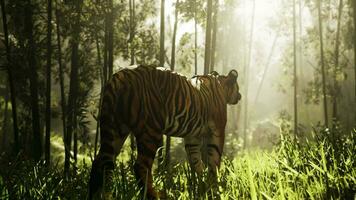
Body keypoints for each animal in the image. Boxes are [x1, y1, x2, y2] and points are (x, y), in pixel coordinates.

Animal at [87, 65, 242, 199]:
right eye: (238, 87)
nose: (240, 96)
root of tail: (119, 77)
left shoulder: (192, 137)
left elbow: (197, 163)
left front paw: (202, 188)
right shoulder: (217, 131)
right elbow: (214, 162)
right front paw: (214, 190)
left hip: (114, 128)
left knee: (100, 161)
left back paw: (96, 195)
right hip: (150, 131)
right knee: (140, 166)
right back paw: (153, 196)